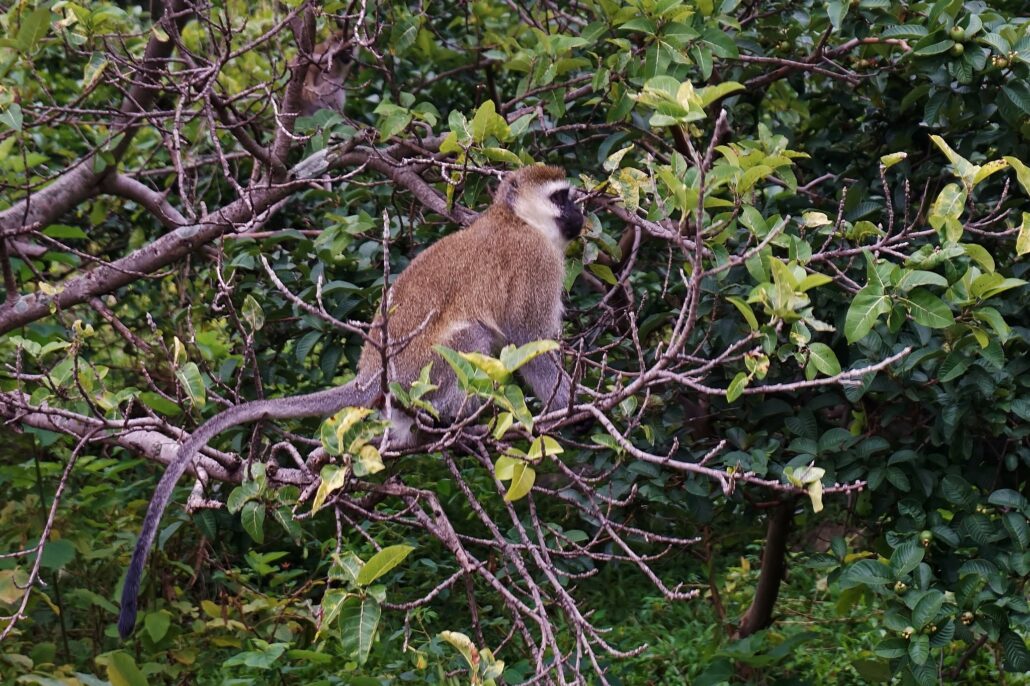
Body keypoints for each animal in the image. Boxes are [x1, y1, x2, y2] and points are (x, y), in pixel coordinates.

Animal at [116, 164, 585, 634]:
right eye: (560, 198)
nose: (580, 216)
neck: (516, 221)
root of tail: (370, 377)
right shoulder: (536, 262)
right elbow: (529, 342)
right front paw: (568, 413)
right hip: (423, 372)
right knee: (473, 338)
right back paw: (454, 420)